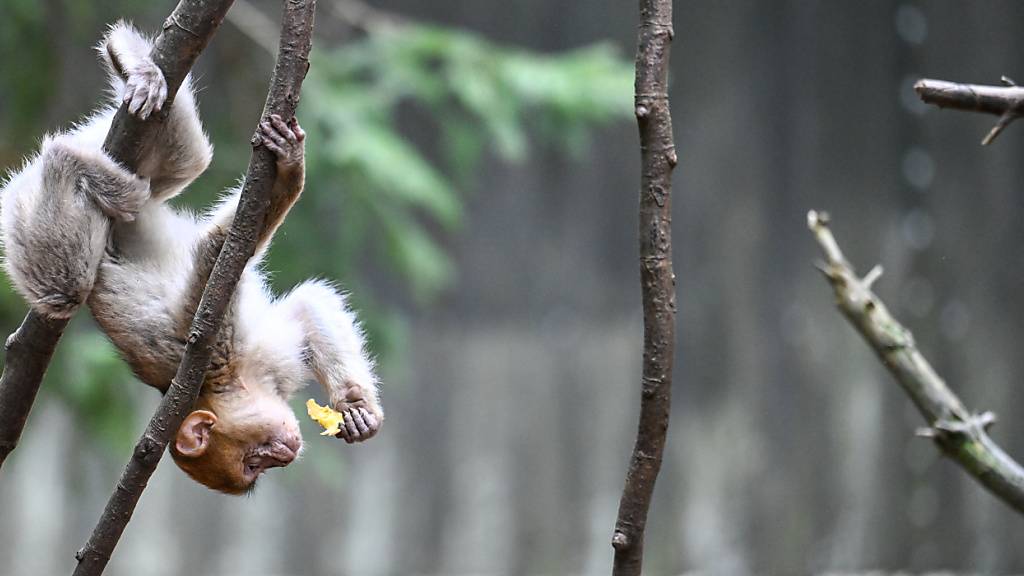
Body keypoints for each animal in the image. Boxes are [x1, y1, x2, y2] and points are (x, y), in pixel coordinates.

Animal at [0, 20, 385, 491]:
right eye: (255, 464)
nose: (287, 454)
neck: (235, 380)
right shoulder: (212, 346)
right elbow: (219, 250)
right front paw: (292, 173)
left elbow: (304, 302)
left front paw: (356, 409)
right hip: (24, 208)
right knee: (66, 291)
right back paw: (65, 161)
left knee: (183, 160)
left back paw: (135, 66)